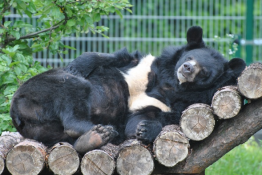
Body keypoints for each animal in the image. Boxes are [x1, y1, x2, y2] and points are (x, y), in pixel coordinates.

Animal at [9, 26, 244, 153]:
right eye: (190, 57)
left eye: (204, 73)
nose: (187, 68)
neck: (170, 84)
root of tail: (17, 111)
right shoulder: (143, 65)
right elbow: (111, 57)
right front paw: (78, 65)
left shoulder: (170, 104)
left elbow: (142, 120)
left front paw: (145, 129)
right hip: (43, 87)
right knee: (75, 85)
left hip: (43, 128)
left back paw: (95, 135)